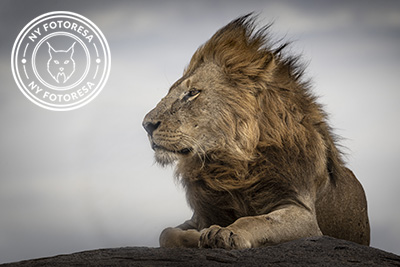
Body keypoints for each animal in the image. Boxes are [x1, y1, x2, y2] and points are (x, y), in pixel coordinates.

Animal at [142, 14, 370, 249]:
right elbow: (167, 233)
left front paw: (224, 233)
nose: (146, 125)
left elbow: (255, 221)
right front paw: (199, 235)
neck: (231, 166)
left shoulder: (304, 216)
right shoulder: (201, 214)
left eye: (192, 93)